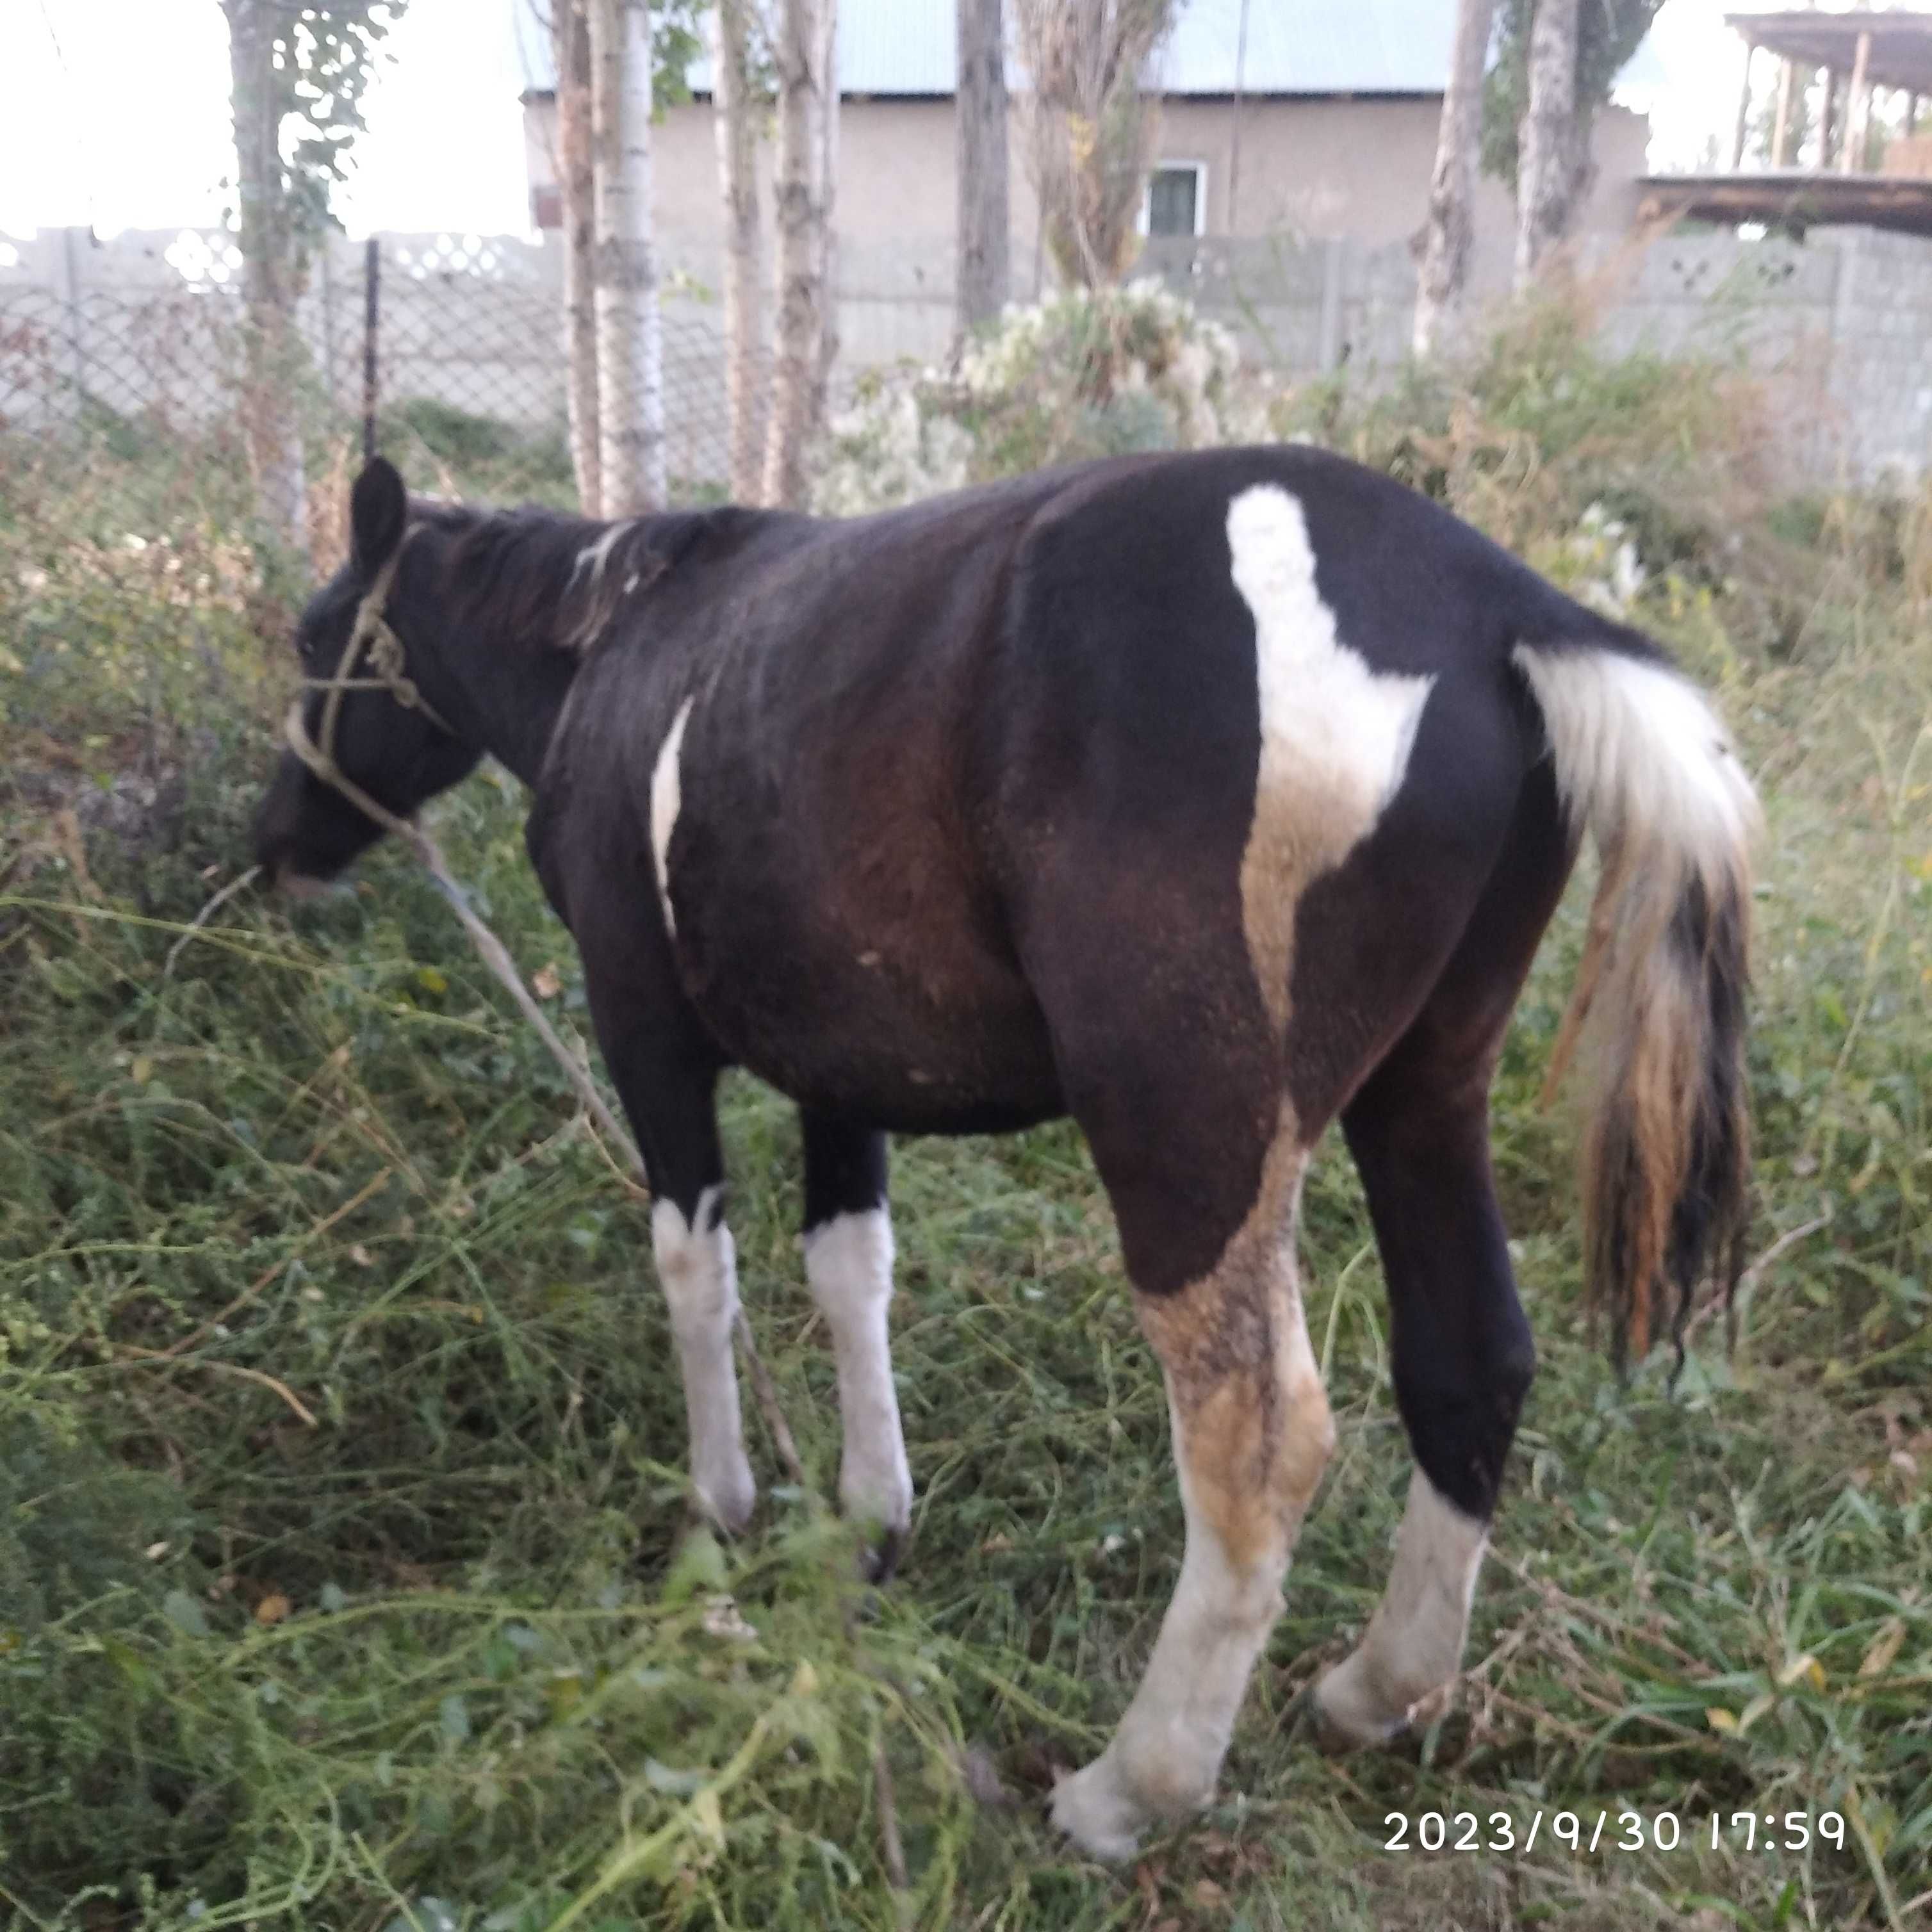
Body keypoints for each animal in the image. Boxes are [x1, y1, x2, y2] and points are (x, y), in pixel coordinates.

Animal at [249, 448, 1762, 1854]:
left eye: (319, 639)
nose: (274, 845)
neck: (624, 640)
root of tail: (1496, 604)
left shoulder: (643, 1028)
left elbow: (694, 1266)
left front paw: (719, 1510)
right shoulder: (837, 1062)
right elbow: (848, 1265)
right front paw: (867, 1520)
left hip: (1194, 1138)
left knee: (1255, 1443)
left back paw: (1130, 1788)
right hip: (1426, 1092)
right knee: (1470, 1358)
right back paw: (1376, 1690)